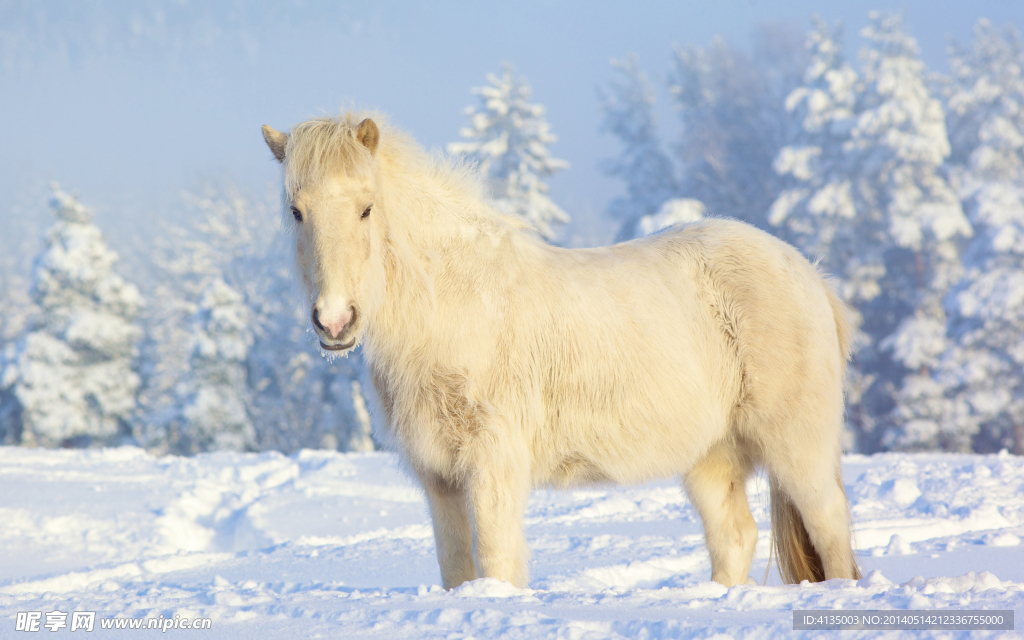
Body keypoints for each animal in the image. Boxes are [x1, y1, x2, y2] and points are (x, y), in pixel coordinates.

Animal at [260, 112, 861, 589]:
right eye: (295, 211)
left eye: (366, 209)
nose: (335, 321)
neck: (454, 301)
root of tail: (809, 273)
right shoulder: (440, 479)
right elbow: (457, 568)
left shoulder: (493, 464)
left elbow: (497, 560)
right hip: (711, 457)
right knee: (734, 537)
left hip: (797, 447)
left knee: (830, 527)